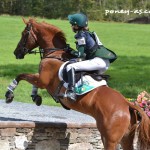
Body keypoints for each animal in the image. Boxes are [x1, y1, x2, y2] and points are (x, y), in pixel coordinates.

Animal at [4, 18, 150, 149]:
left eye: (24, 34)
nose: (16, 52)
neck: (54, 53)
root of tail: (128, 104)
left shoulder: (42, 80)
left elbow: (21, 76)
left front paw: (9, 95)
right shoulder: (41, 79)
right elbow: (30, 80)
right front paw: (35, 97)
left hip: (110, 138)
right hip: (126, 137)